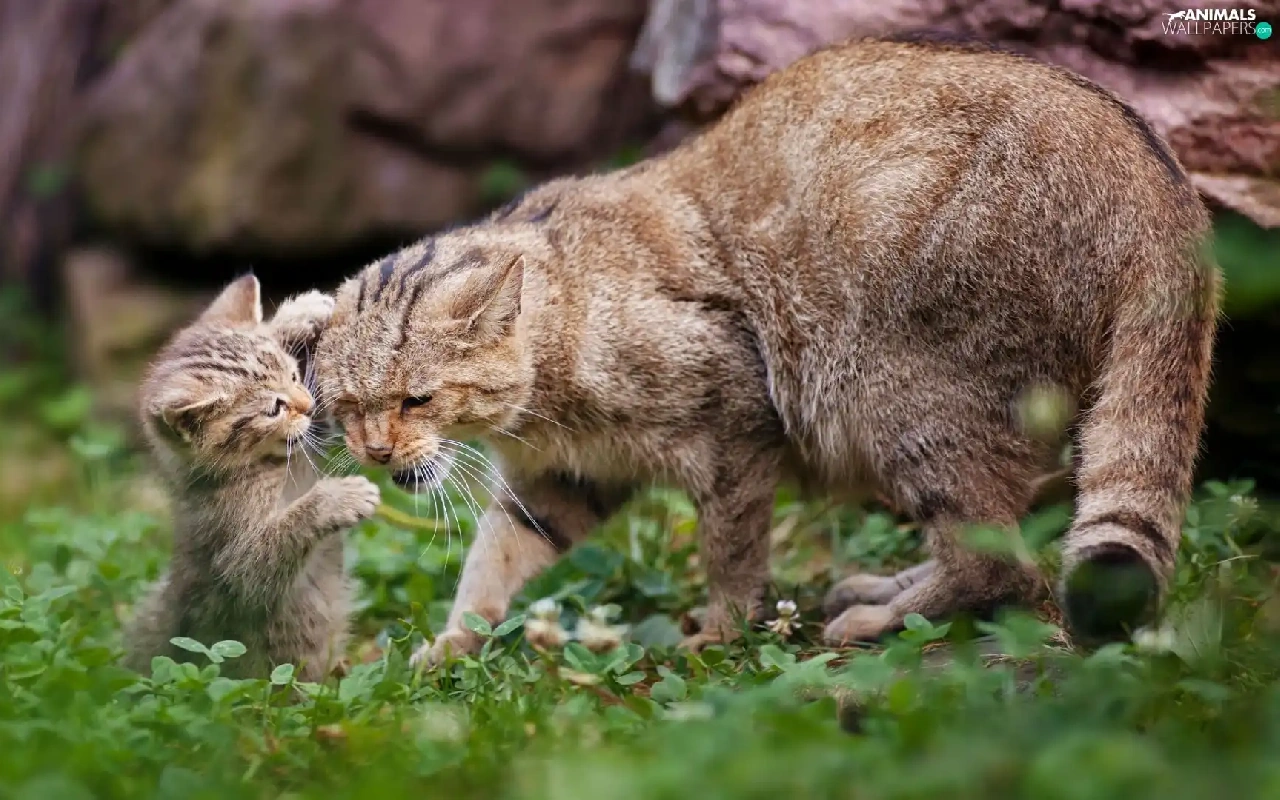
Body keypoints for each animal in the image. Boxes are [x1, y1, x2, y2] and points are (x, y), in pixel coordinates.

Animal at [122, 274, 381, 682]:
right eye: (274, 408)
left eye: (294, 375)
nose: (307, 404)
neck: (264, 466)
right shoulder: (233, 558)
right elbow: (265, 558)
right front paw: (337, 499)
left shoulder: (312, 438)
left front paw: (297, 316)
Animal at [314, 36, 1219, 666]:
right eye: (348, 406)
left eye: (417, 398)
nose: (377, 452)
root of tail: (1167, 192)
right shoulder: (563, 481)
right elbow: (494, 561)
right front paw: (452, 644)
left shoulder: (736, 429)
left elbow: (732, 552)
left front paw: (718, 632)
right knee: (1011, 538)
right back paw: (885, 586)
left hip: (903, 398)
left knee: (999, 562)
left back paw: (878, 615)